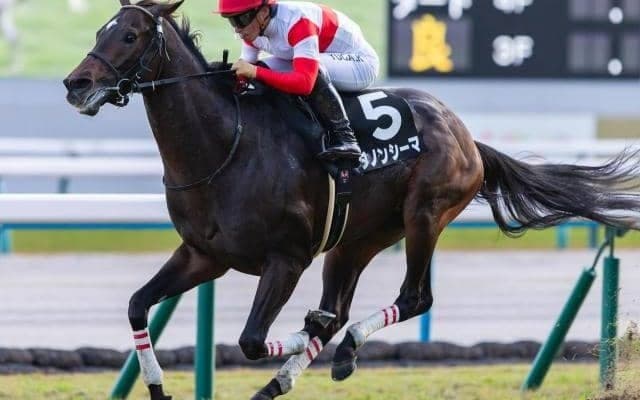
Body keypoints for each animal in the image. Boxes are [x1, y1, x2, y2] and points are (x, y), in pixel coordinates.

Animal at [63, 1, 640, 399]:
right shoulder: (204, 255)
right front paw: (158, 386)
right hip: (355, 239)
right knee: (340, 307)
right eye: (99, 32)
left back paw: (335, 349)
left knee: (413, 298)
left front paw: (301, 336)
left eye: (131, 34)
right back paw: (298, 369)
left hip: (424, 214)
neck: (225, 146)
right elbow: (138, 305)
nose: (75, 83)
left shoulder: (287, 258)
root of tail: (469, 137)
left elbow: (252, 339)